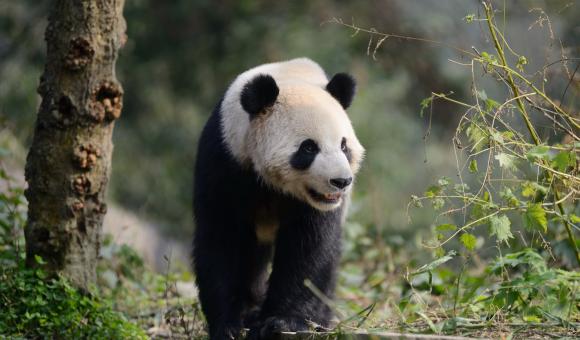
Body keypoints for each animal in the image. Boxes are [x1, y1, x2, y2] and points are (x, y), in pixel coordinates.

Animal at [193, 57, 364, 338]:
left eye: (343, 145)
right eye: (309, 147)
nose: (341, 182)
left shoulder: (318, 208)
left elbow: (310, 248)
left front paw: (283, 323)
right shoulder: (226, 160)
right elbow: (222, 237)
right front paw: (229, 324)